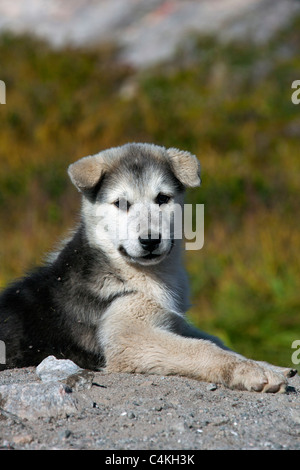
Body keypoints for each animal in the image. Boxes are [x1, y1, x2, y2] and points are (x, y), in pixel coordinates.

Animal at [0, 142, 296, 390]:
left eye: (162, 199)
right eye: (121, 203)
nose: (151, 240)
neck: (132, 273)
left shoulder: (171, 321)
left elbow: (217, 341)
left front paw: (268, 365)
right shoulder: (129, 336)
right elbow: (201, 348)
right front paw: (249, 371)